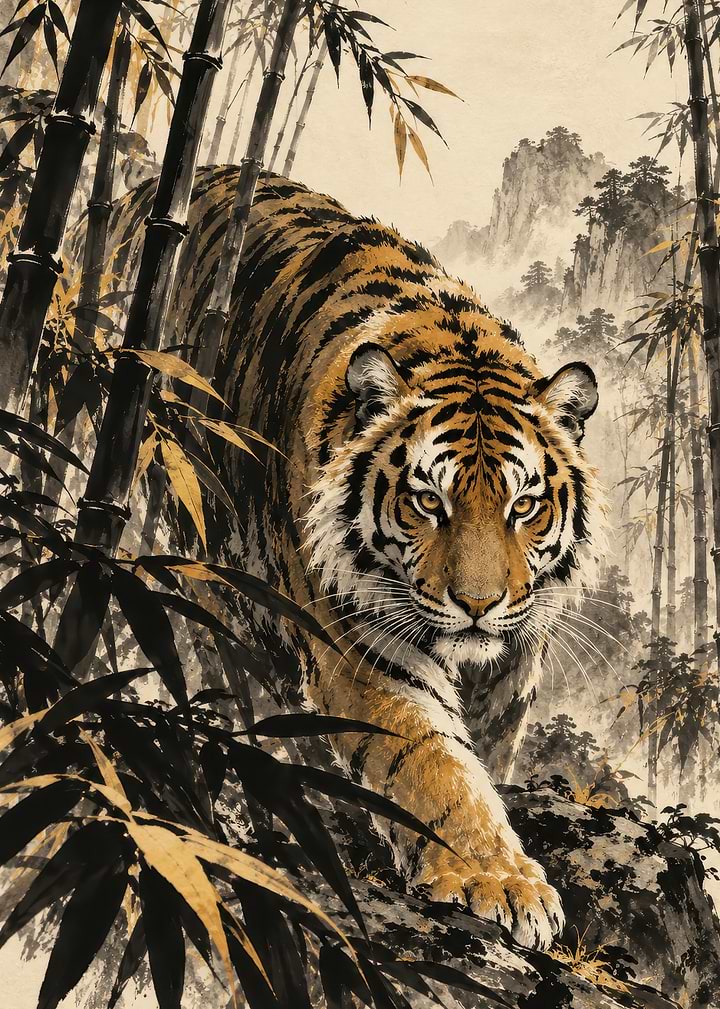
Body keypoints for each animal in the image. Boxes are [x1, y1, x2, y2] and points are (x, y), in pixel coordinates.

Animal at [109, 166, 605, 950]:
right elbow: (437, 764)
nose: (478, 604)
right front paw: (501, 881)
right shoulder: (367, 647)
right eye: (428, 502)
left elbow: (485, 751)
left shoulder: (516, 656)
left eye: (523, 507)